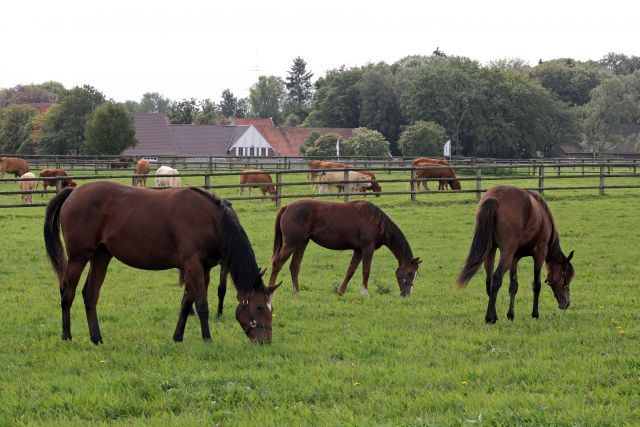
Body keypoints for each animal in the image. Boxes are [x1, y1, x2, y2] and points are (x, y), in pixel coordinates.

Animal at [42, 182, 278, 346]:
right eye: (259, 307)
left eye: (271, 308)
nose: (265, 341)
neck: (212, 220)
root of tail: (74, 191)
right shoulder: (193, 264)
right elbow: (201, 304)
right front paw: (207, 339)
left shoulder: (202, 268)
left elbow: (186, 303)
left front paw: (177, 337)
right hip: (78, 258)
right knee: (67, 293)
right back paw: (66, 335)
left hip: (101, 257)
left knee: (90, 295)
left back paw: (97, 338)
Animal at [268, 201, 422, 298]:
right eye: (409, 273)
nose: (406, 294)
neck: (376, 222)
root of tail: (287, 206)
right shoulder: (367, 248)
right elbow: (366, 271)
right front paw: (365, 293)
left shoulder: (358, 250)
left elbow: (351, 271)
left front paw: (341, 291)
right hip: (291, 244)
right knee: (277, 264)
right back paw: (270, 290)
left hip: (301, 243)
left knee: (294, 266)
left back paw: (296, 292)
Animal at [456, 186, 576, 324]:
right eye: (566, 276)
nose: (566, 303)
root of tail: (495, 197)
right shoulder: (539, 254)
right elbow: (536, 284)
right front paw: (535, 314)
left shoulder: (515, 258)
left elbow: (513, 286)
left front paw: (510, 315)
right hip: (506, 253)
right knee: (496, 278)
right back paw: (489, 317)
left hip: (491, 250)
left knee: (489, 280)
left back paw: (494, 316)